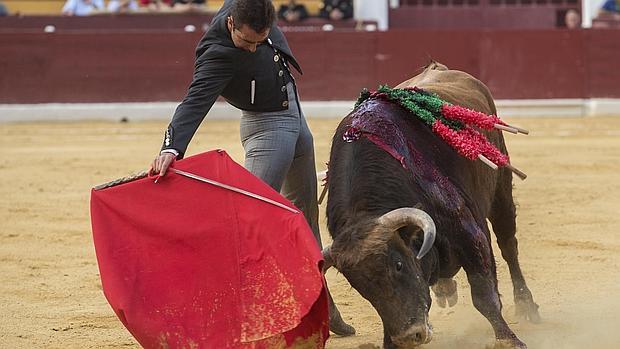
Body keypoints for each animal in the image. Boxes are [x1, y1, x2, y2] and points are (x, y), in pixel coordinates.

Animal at [322, 62, 540, 348]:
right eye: (358, 286)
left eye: (398, 265)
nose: (409, 336)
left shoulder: (468, 232)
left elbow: (484, 296)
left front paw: (509, 340)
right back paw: (445, 288)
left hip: (501, 188)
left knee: (508, 245)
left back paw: (526, 305)